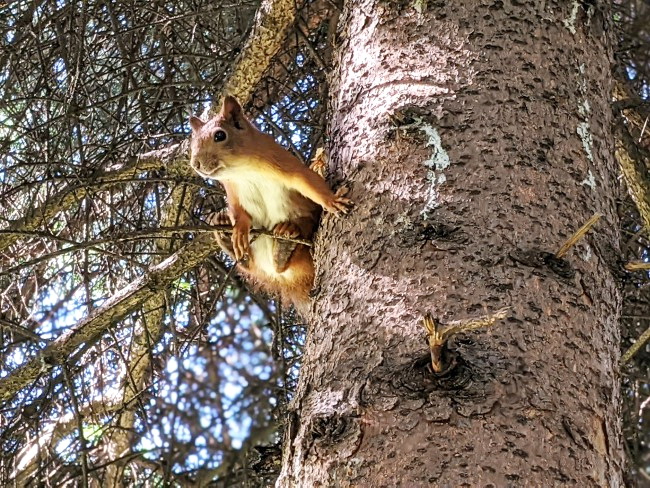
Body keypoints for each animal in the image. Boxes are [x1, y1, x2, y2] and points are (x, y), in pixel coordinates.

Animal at [187, 96, 350, 312]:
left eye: (220, 135)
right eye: (192, 143)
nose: (195, 163)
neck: (243, 171)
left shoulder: (282, 161)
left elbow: (308, 181)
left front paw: (331, 200)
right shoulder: (233, 192)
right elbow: (238, 212)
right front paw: (238, 230)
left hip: (305, 227)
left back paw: (286, 239)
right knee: (250, 265)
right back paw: (224, 230)